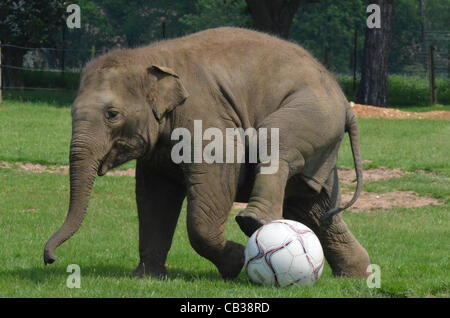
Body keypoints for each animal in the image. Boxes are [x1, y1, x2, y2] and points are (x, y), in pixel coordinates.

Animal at [44, 28, 370, 280]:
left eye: (112, 114)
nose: (50, 258)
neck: (150, 56)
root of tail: (346, 104)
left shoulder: (204, 116)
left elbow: (218, 172)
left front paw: (236, 261)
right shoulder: (159, 149)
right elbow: (154, 195)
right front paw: (145, 278)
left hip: (313, 114)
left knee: (274, 139)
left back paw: (252, 223)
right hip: (321, 143)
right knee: (315, 206)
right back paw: (357, 274)